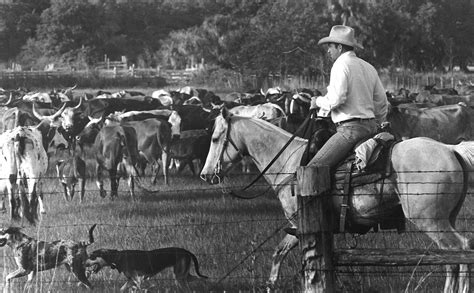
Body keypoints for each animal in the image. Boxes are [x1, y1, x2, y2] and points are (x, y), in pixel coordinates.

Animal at [201, 107, 474, 292]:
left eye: (215, 139)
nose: (206, 174)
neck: (289, 163)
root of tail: (450, 149)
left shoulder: (301, 223)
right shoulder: (305, 227)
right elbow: (279, 252)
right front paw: (270, 285)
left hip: (430, 220)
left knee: (460, 248)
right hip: (445, 219)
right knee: (449, 256)